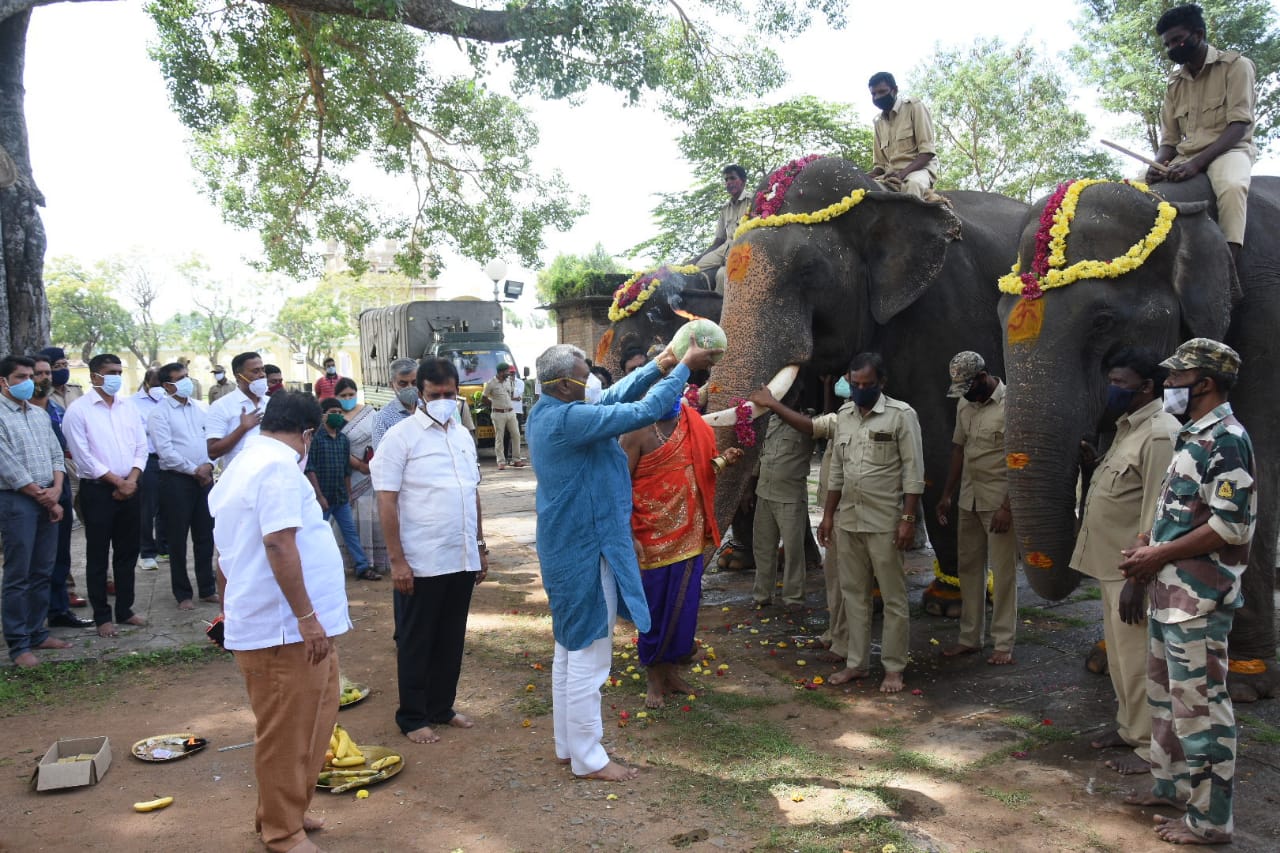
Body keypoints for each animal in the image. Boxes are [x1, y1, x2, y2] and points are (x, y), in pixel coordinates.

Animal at [998, 172, 1280, 696]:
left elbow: (1259, 464)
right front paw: (1100, 659)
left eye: (1103, 322)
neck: (1179, 202)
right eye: (999, 316)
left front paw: (1248, 680)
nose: (1083, 448)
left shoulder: (1266, 321)